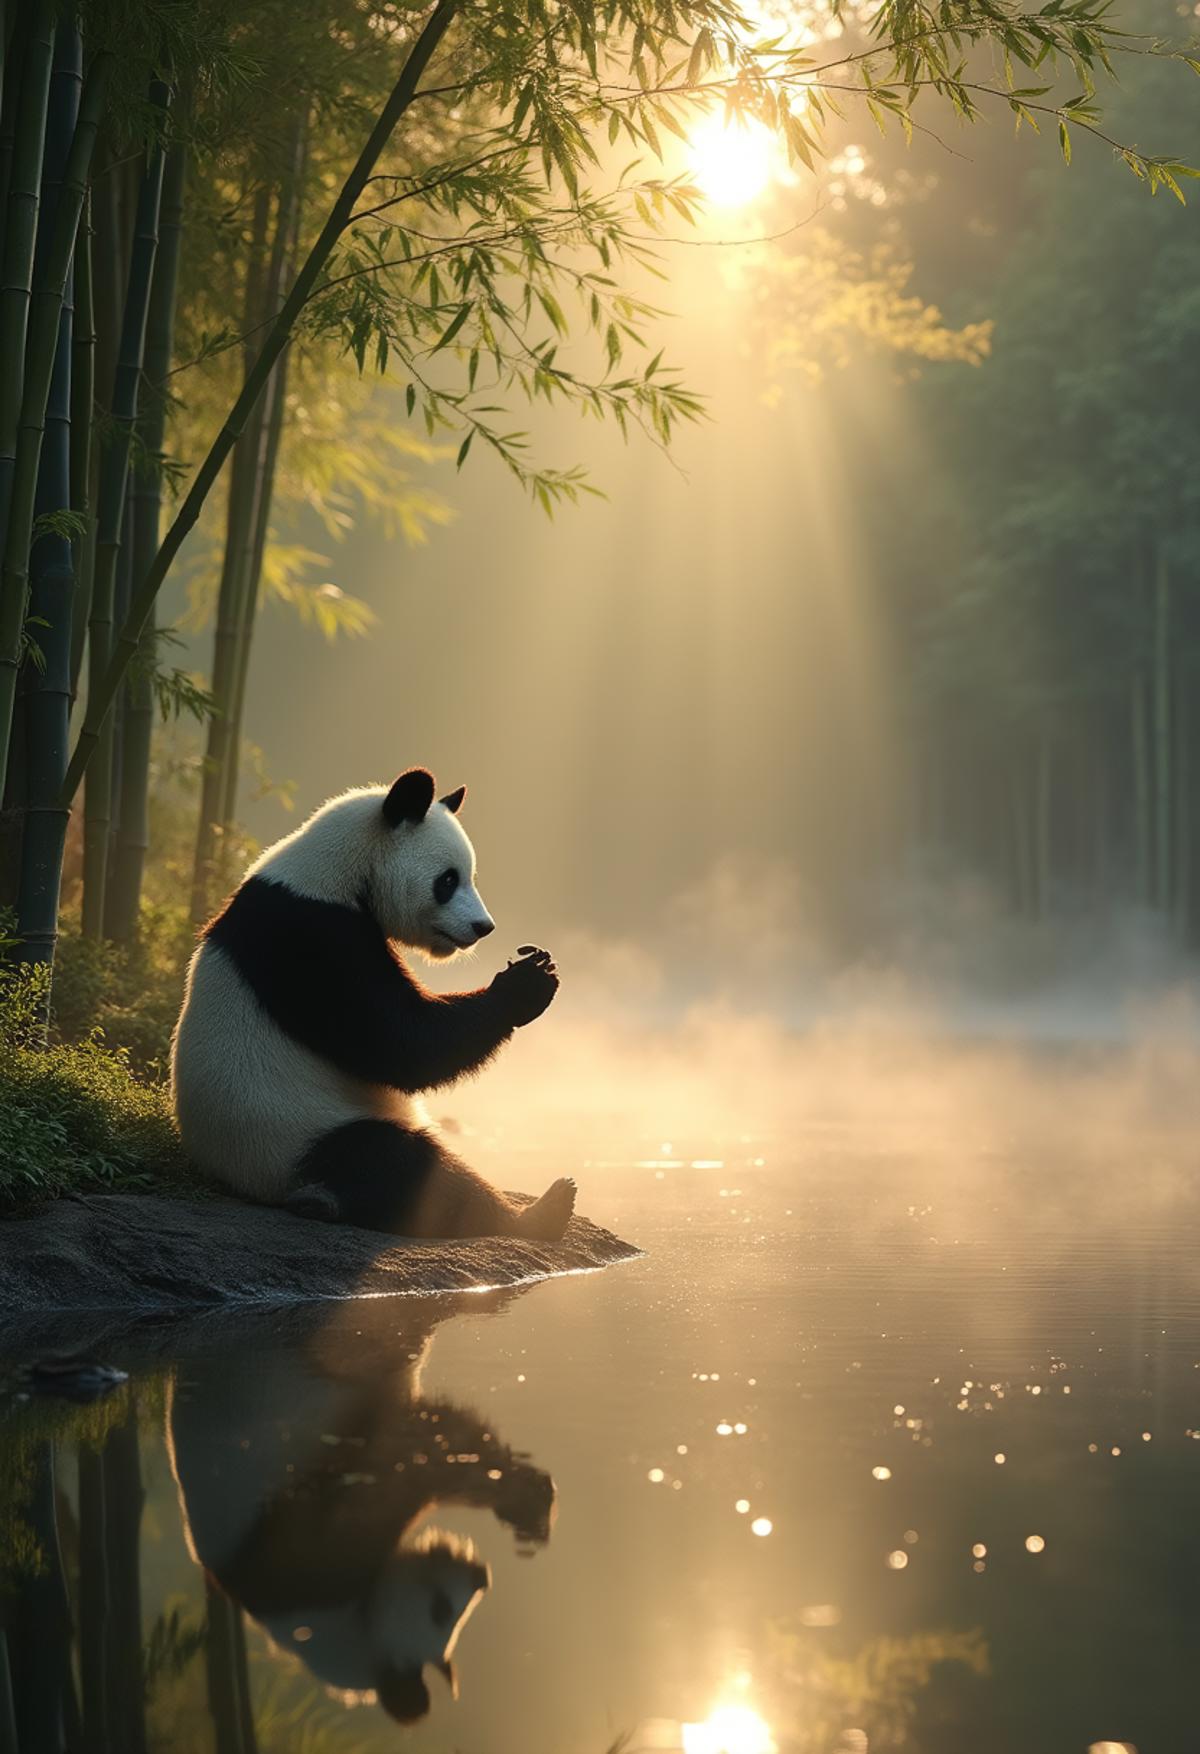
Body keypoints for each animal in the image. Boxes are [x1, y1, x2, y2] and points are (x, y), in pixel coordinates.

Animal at [171, 761, 575, 1241]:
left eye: (470, 877)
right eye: (448, 880)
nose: (483, 927)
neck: (336, 869)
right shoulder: (311, 937)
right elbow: (401, 1043)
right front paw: (528, 983)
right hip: (294, 1135)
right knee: (405, 1167)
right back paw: (541, 1211)